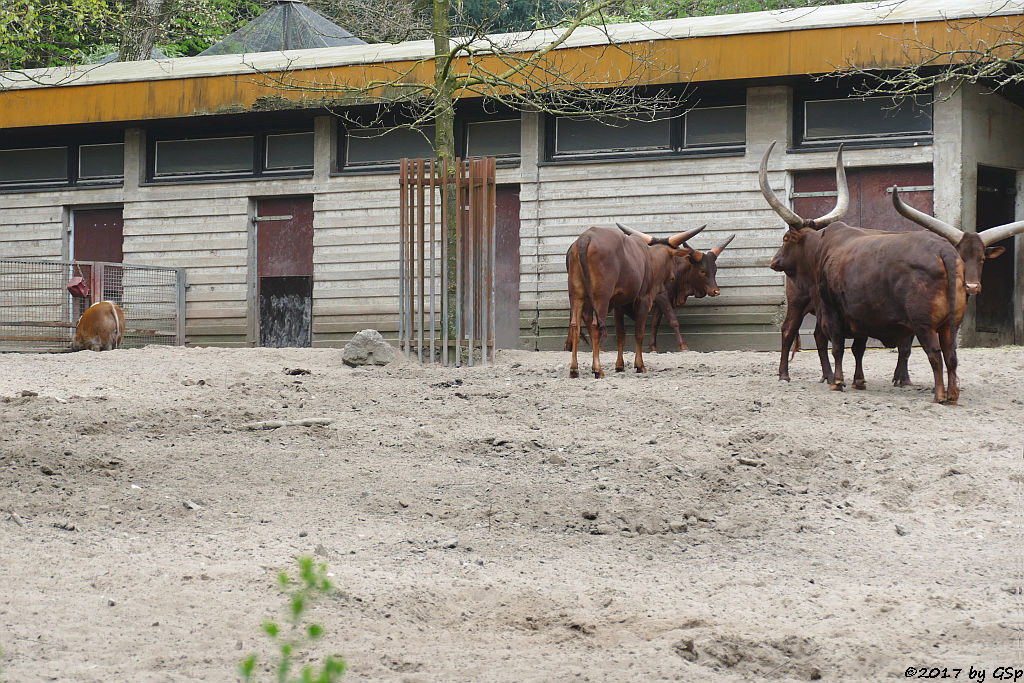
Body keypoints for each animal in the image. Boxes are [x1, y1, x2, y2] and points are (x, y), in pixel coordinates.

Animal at [565, 224, 708, 376]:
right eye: (673, 259)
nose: (672, 276)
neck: (649, 259)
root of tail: (586, 238)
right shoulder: (643, 300)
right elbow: (639, 333)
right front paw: (640, 365)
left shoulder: (618, 305)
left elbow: (620, 335)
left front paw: (619, 365)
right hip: (601, 298)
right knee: (595, 326)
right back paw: (597, 369)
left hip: (577, 296)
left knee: (575, 326)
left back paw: (574, 369)